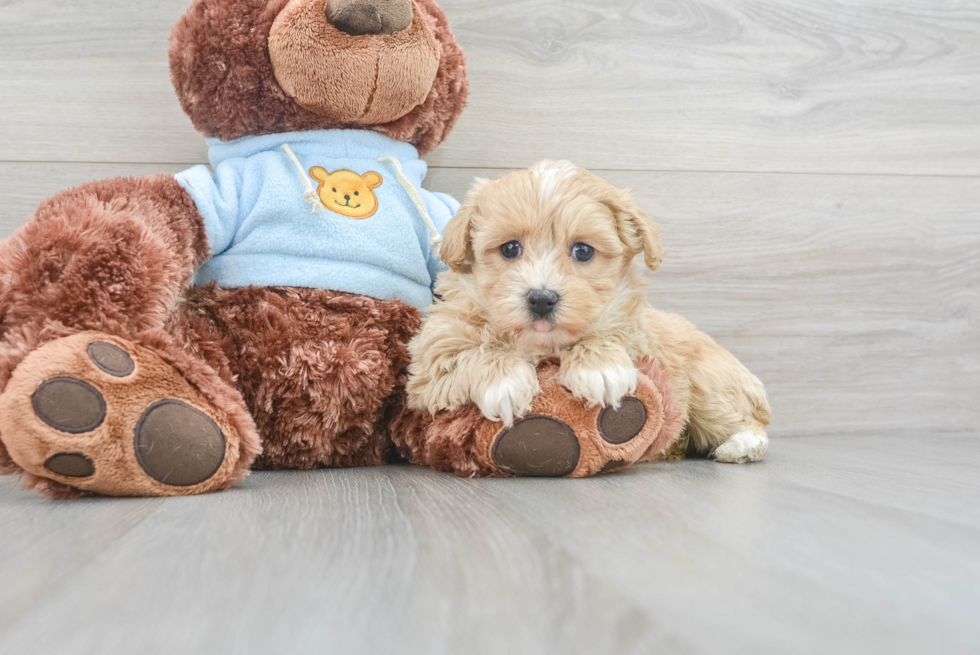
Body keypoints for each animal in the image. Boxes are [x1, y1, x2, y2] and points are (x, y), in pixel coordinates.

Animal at [408, 161, 772, 464]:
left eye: (583, 251)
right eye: (510, 248)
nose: (541, 298)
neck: (543, 345)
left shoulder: (638, 330)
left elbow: (610, 332)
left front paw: (600, 370)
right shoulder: (430, 358)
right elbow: (469, 352)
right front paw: (506, 382)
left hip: (708, 384)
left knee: (742, 420)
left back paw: (742, 445)